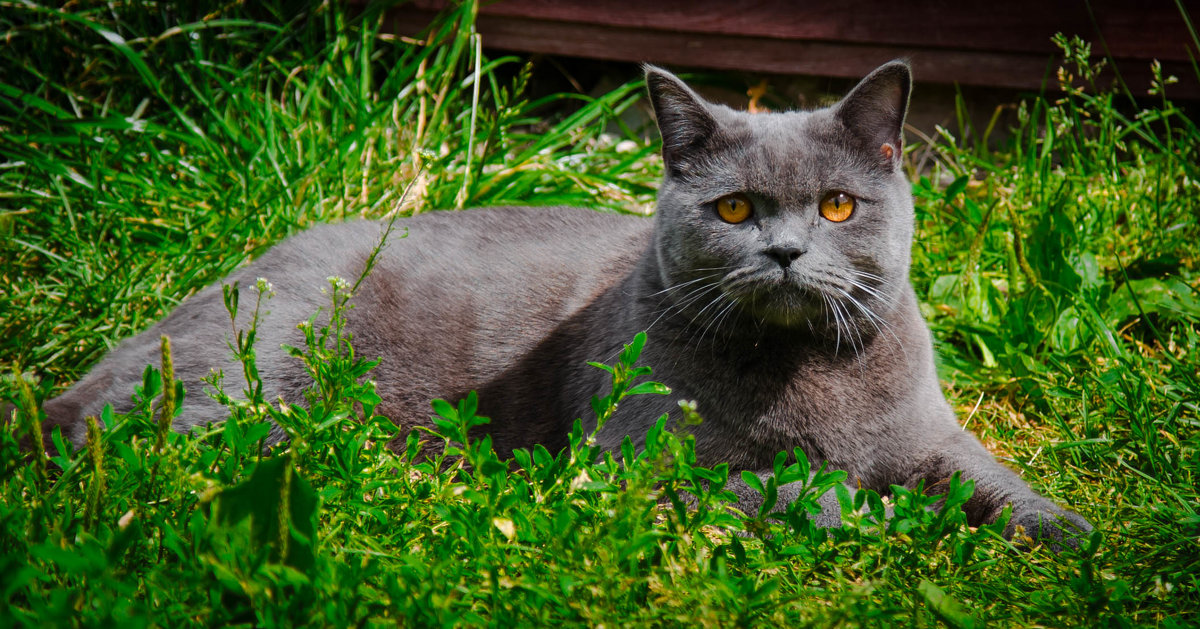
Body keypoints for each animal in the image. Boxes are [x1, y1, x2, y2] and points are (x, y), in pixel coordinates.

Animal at [39, 61, 1089, 547]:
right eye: (735, 209)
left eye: (837, 204)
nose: (786, 250)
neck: (803, 374)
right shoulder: (632, 466)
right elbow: (772, 486)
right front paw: (861, 507)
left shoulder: (930, 432)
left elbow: (995, 479)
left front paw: (1081, 544)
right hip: (255, 372)